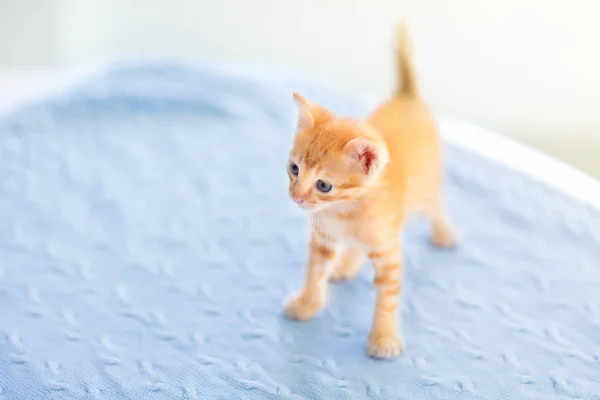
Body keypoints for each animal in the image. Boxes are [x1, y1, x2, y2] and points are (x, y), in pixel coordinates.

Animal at [284, 23, 454, 358]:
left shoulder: (389, 251)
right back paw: (346, 265)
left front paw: (383, 337)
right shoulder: (322, 238)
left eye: (323, 185)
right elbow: (315, 272)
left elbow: (387, 299)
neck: (345, 211)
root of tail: (406, 94)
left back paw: (444, 233)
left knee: (436, 207)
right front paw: (309, 303)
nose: (296, 197)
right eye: (294, 169)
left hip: (428, 186)